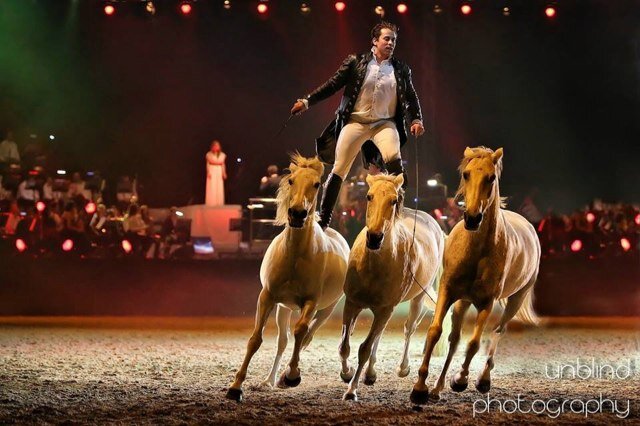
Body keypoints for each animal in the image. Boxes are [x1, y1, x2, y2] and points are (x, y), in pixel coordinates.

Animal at [225, 154, 350, 402]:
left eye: (317, 184)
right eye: (291, 180)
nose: (297, 214)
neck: (294, 256)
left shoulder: (311, 301)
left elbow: (301, 331)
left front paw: (292, 375)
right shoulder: (267, 297)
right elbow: (256, 339)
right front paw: (236, 387)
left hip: (327, 308)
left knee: (309, 335)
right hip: (284, 308)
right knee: (283, 341)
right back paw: (269, 380)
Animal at [338, 173, 448, 402]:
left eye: (394, 200)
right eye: (369, 196)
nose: (374, 237)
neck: (373, 265)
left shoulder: (384, 309)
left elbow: (364, 349)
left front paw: (351, 391)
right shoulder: (352, 303)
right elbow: (344, 346)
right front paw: (347, 373)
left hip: (415, 298)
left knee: (408, 328)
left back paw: (402, 368)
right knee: (379, 334)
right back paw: (370, 373)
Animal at [411, 146, 541, 405]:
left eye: (491, 178)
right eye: (466, 174)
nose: (472, 218)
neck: (477, 251)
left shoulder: (486, 302)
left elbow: (473, 344)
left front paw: (460, 380)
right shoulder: (448, 291)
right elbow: (436, 332)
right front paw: (420, 388)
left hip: (516, 298)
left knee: (497, 332)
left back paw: (482, 380)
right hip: (463, 301)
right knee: (454, 340)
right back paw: (437, 388)